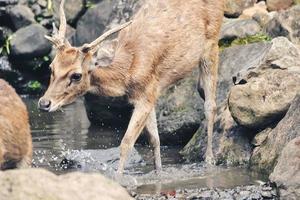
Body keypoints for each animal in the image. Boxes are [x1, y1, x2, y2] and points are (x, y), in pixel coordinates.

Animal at [38, 0, 224, 175]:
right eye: (51, 67)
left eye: (76, 75)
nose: (44, 103)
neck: (128, 69)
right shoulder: (150, 94)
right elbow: (155, 139)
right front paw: (158, 172)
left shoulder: (145, 95)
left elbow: (126, 142)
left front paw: (118, 178)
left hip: (211, 44)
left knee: (210, 106)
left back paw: (209, 159)